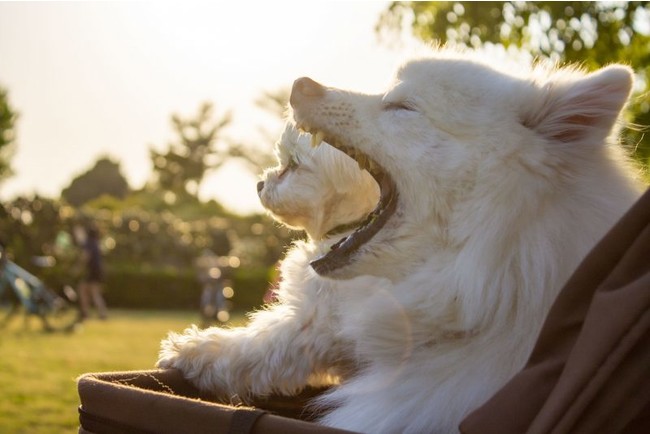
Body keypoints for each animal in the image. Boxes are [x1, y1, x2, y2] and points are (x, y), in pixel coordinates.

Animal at [158, 49, 644, 432]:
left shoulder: (326, 326)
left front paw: (192, 349)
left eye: (402, 106)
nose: (300, 82)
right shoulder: (338, 326)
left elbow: (269, 338)